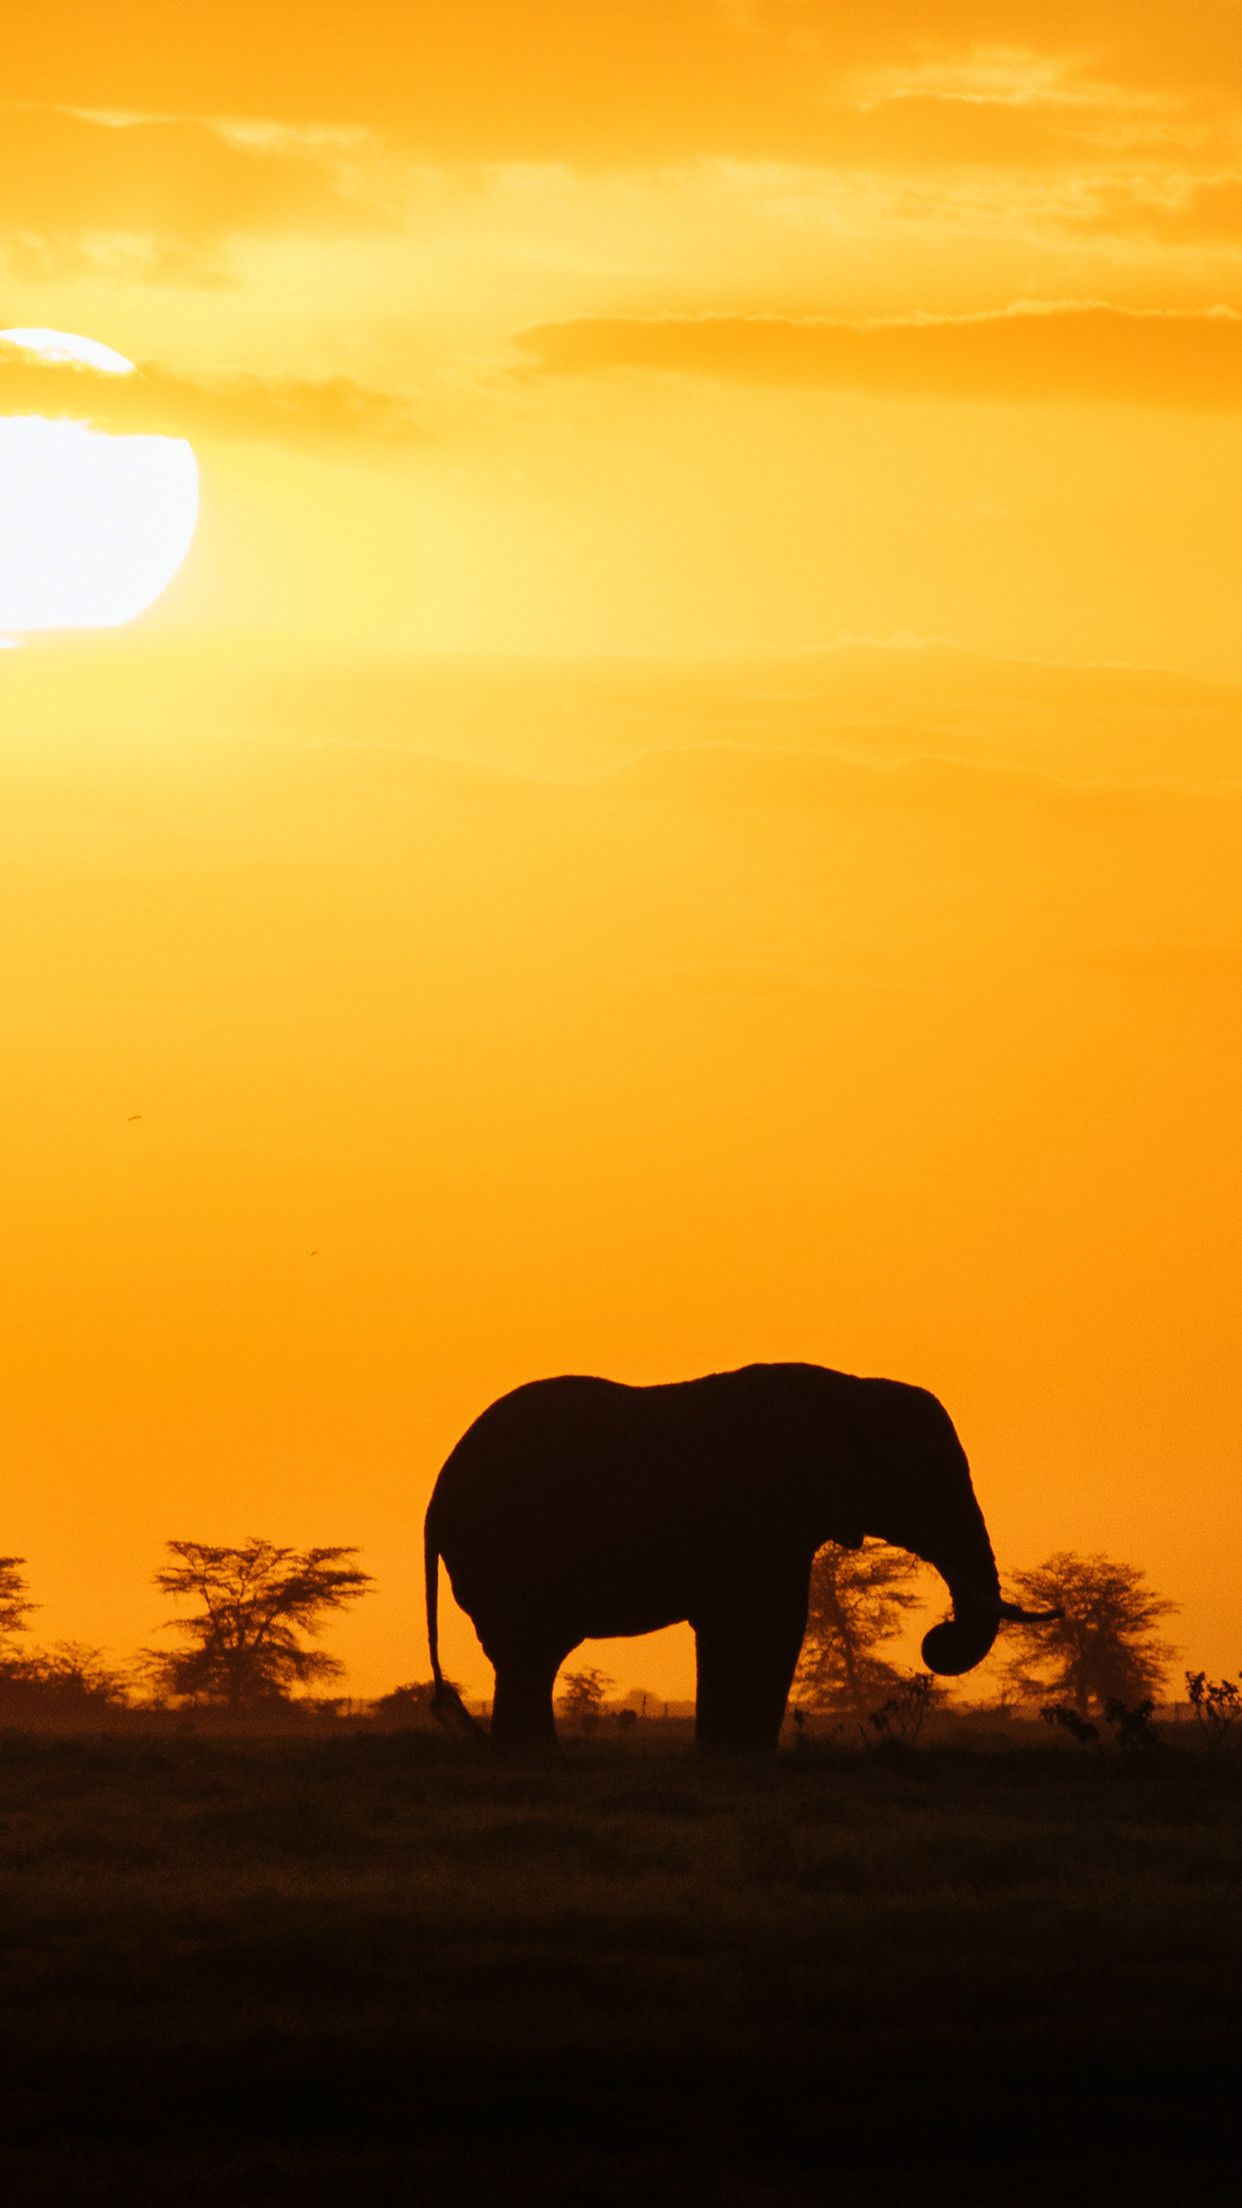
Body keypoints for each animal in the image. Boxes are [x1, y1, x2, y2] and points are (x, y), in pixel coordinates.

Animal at [424, 1362, 1056, 1753]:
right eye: (931, 1480)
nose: (938, 1638)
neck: (851, 1390)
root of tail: (435, 1500)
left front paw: (724, 1753)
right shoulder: (763, 1518)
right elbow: (770, 1624)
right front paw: (741, 1754)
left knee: (530, 1658)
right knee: (531, 1652)